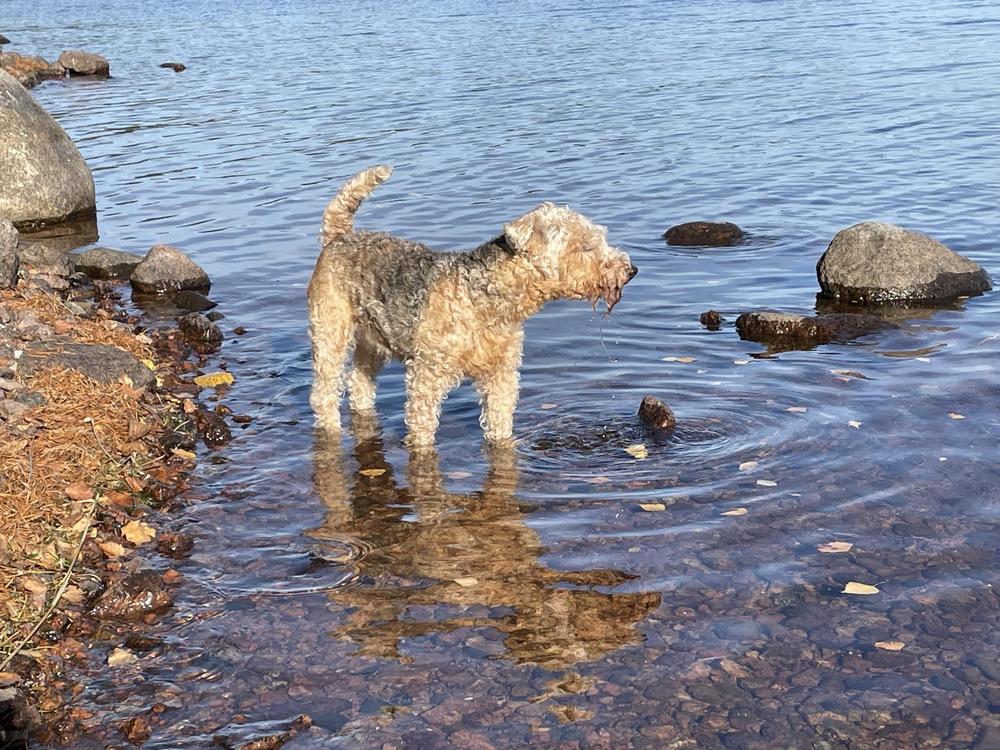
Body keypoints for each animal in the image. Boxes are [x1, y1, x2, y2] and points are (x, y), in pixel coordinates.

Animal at [308, 165, 637, 448]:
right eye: (584, 246)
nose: (631, 270)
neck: (491, 300)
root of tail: (339, 237)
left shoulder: (502, 375)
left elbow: (499, 424)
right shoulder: (427, 374)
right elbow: (422, 425)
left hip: (372, 342)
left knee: (359, 385)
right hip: (330, 335)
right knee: (324, 393)